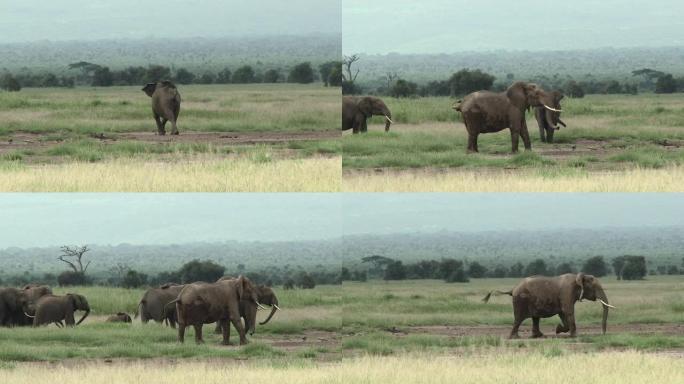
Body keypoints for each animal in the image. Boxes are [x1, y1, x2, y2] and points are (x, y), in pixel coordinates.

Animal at [480, 272, 616, 340]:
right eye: (595, 287)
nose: (603, 333)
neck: (579, 277)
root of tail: (513, 289)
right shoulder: (567, 292)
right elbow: (568, 311)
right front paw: (574, 336)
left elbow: (563, 313)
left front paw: (558, 329)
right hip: (520, 300)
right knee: (519, 319)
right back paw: (515, 337)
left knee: (535, 318)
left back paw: (538, 336)